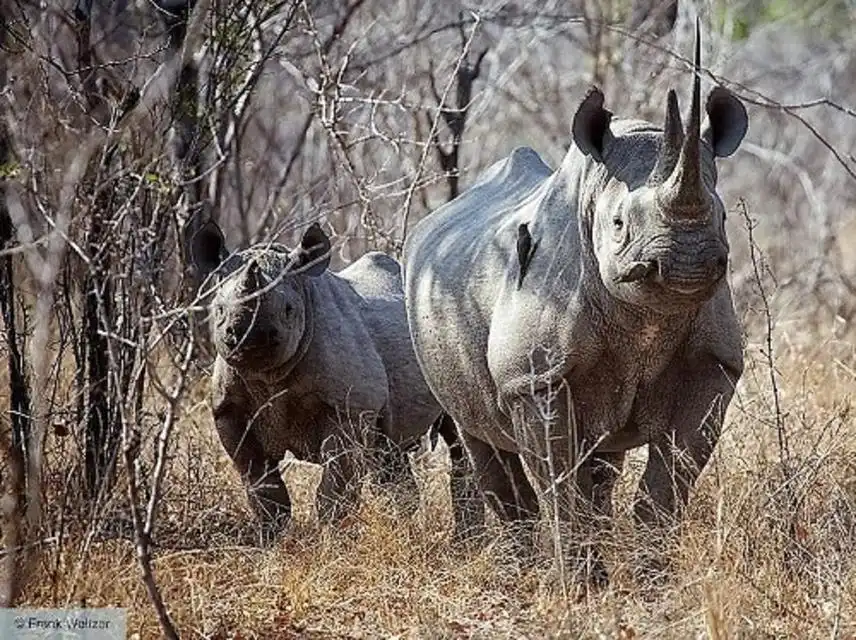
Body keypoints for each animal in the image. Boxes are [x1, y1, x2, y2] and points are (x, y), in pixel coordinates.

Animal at [191, 220, 471, 535]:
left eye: (288, 310)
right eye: (219, 309)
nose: (249, 338)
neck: (268, 374)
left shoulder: (349, 407)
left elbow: (335, 484)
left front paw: (331, 534)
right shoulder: (228, 409)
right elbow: (261, 483)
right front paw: (272, 536)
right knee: (390, 454)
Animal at [403, 24, 748, 579]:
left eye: (720, 217)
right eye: (619, 224)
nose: (687, 263)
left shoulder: (714, 364)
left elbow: (670, 481)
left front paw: (652, 576)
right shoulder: (534, 378)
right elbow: (562, 484)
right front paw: (582, 583)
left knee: (601, 459)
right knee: (481, 439)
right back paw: (521, 569)